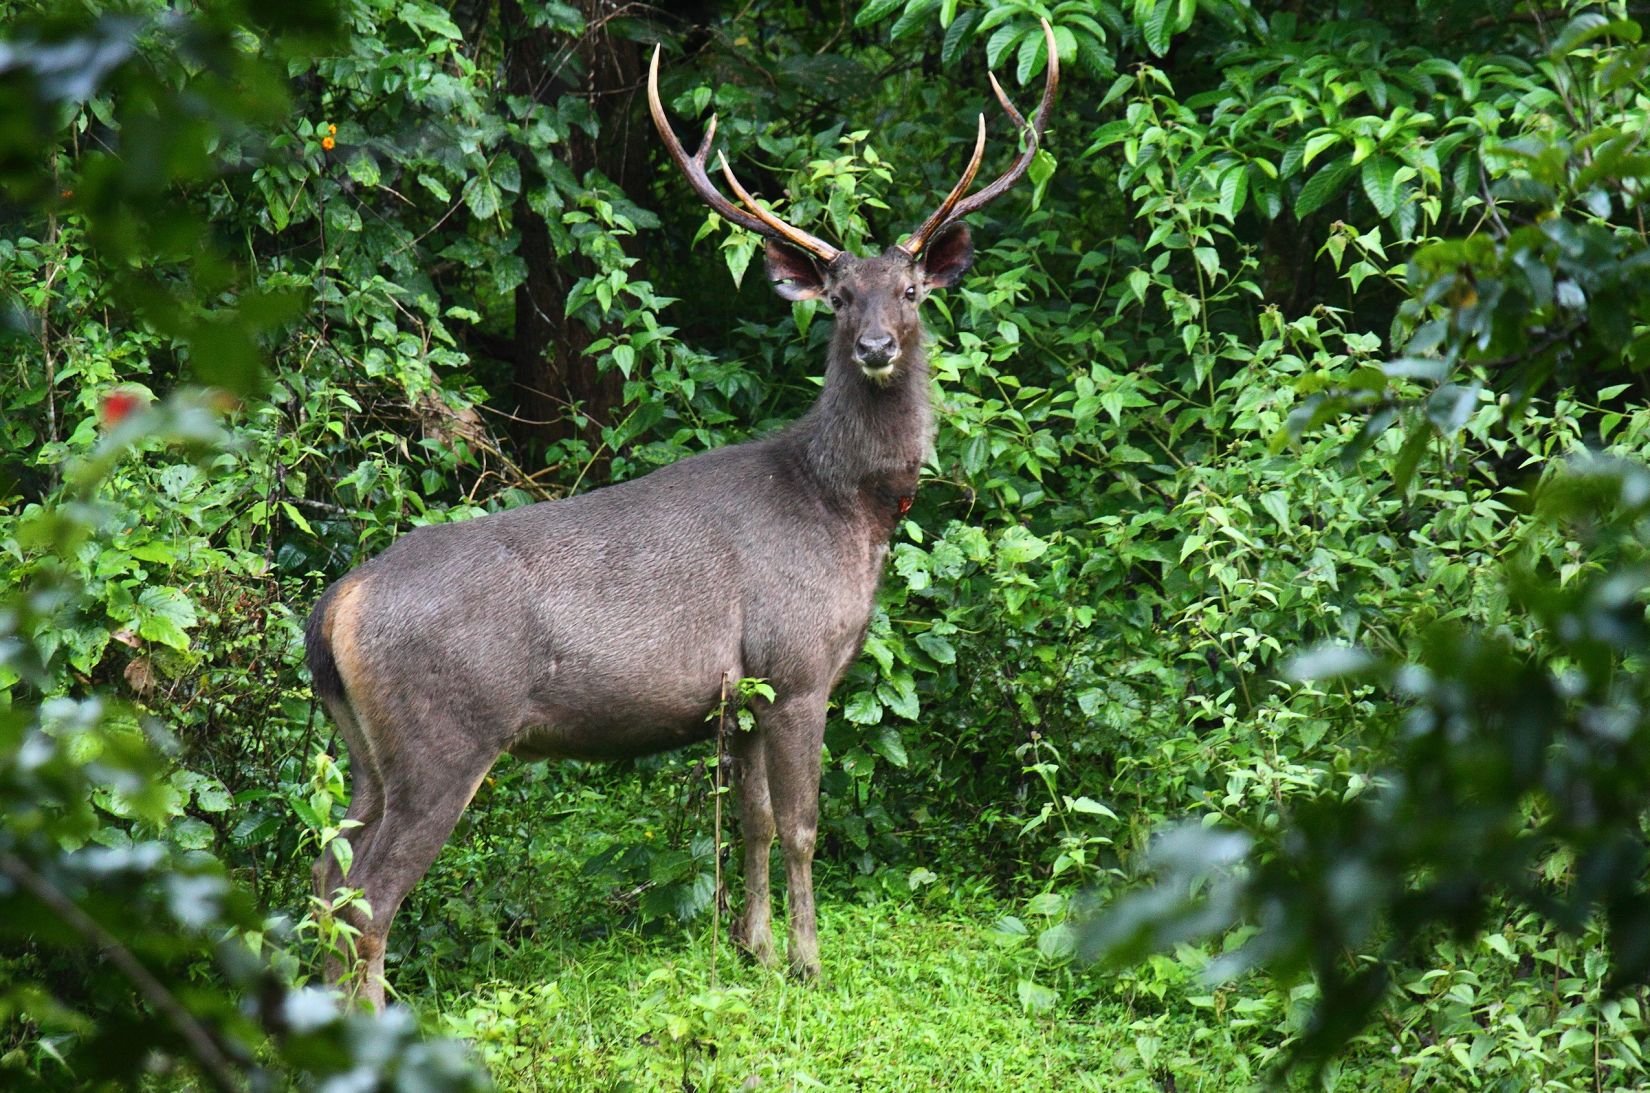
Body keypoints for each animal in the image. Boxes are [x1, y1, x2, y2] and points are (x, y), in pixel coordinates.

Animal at [306, 19, 1056, 1010]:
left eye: (911, 291)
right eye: (839, 296)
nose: (876, 347)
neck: (845, 508)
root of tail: (333, 608)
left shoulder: (739, 696)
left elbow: (755, 824)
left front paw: (755, 950)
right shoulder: (798, 664)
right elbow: (805, 826)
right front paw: (810, 964)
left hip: (361, 747)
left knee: (325, 878)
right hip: (444, 733)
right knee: (368, 897)